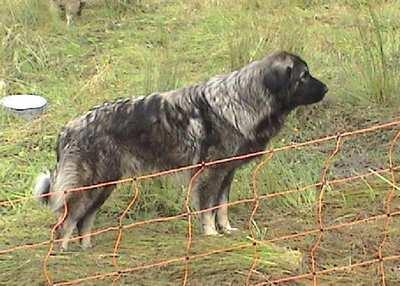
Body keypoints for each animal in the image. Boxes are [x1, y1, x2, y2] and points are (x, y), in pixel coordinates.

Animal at [34, 51, 328, 250]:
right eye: (304, 76)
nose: (326, 88)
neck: (241, 101)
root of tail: (68, 128)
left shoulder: (226, 174)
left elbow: (222, 207)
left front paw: (227, 230)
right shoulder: (209, 175)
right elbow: (208, 209)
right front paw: (211, 235)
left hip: (104, 185)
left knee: (83, 221)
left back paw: (87, 251)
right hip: (91, 186)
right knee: (66, 223)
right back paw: (65, 254)